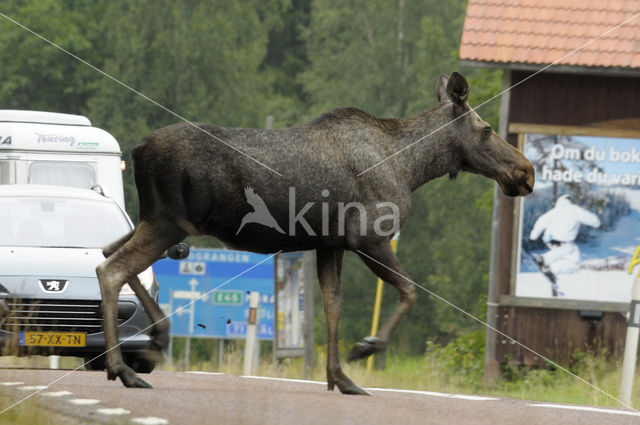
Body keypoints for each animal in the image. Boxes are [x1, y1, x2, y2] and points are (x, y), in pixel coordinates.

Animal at [96, 73, 536, 394]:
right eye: (486, 129)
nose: (525, 172)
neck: (413, 168)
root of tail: (137, 150)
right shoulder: (368, 237)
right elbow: (409, 291)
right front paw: (366, 348)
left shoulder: (331, 245)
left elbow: (332, 306)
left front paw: (339, 378)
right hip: (169, 222)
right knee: (111, 269)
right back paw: (124, 368)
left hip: (153, 221)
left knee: (107, 253)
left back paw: (157, 336)